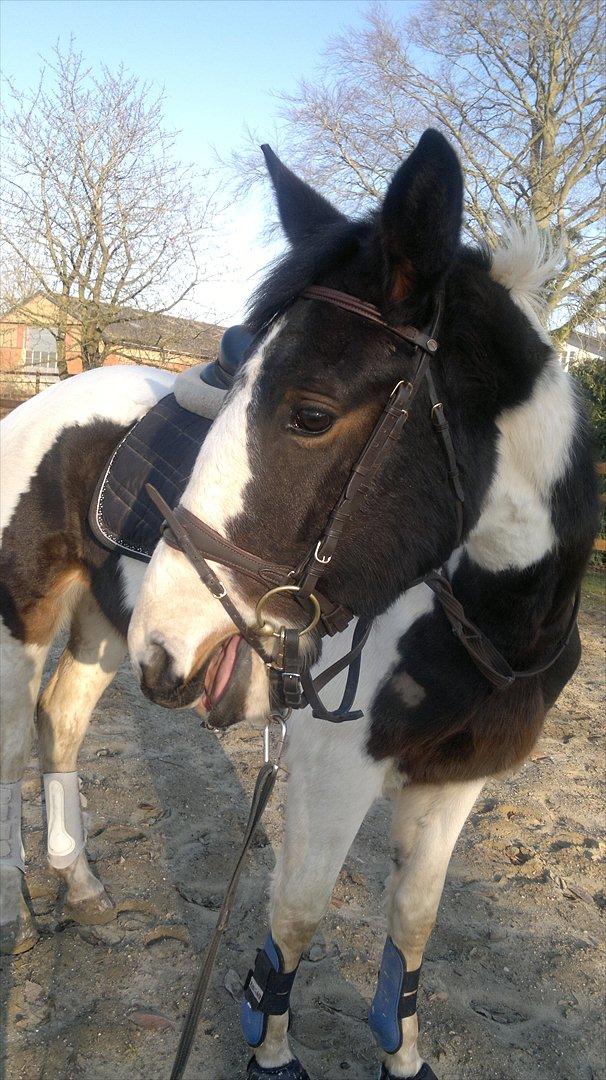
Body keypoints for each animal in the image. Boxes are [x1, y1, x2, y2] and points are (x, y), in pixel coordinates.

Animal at [0, 132, 596, 1080]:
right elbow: (300, 914)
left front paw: (404, 1056)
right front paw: (271, 1052)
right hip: (27, 623)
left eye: (311, 413)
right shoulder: (332, 765)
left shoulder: (457, 777)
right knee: (14, 747)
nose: (171, 641)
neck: (490, 621)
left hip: (102, 629)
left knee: (61, 722)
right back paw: (18, 913)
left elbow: (414, 924)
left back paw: (82, 884)